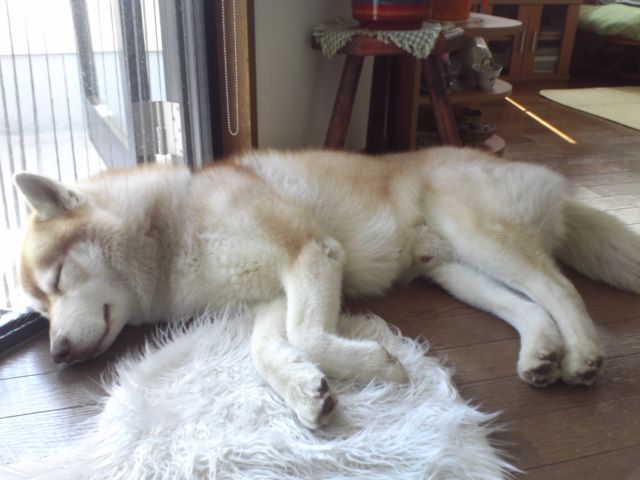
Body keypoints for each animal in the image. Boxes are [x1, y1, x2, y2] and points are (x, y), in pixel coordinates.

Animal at [14, 147, 640, 429]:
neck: (174, 230)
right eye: (39, 311)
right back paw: (541, 353)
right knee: (529, 307)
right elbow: (269, 352)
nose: (58, 353)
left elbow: (307, 335)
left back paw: (584, 354)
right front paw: (305, 393)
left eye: (58, 280)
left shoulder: (312, 254)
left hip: (482, 238)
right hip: (458, 272)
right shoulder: (271, 298)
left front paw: (380, 367)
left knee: (560, 289)